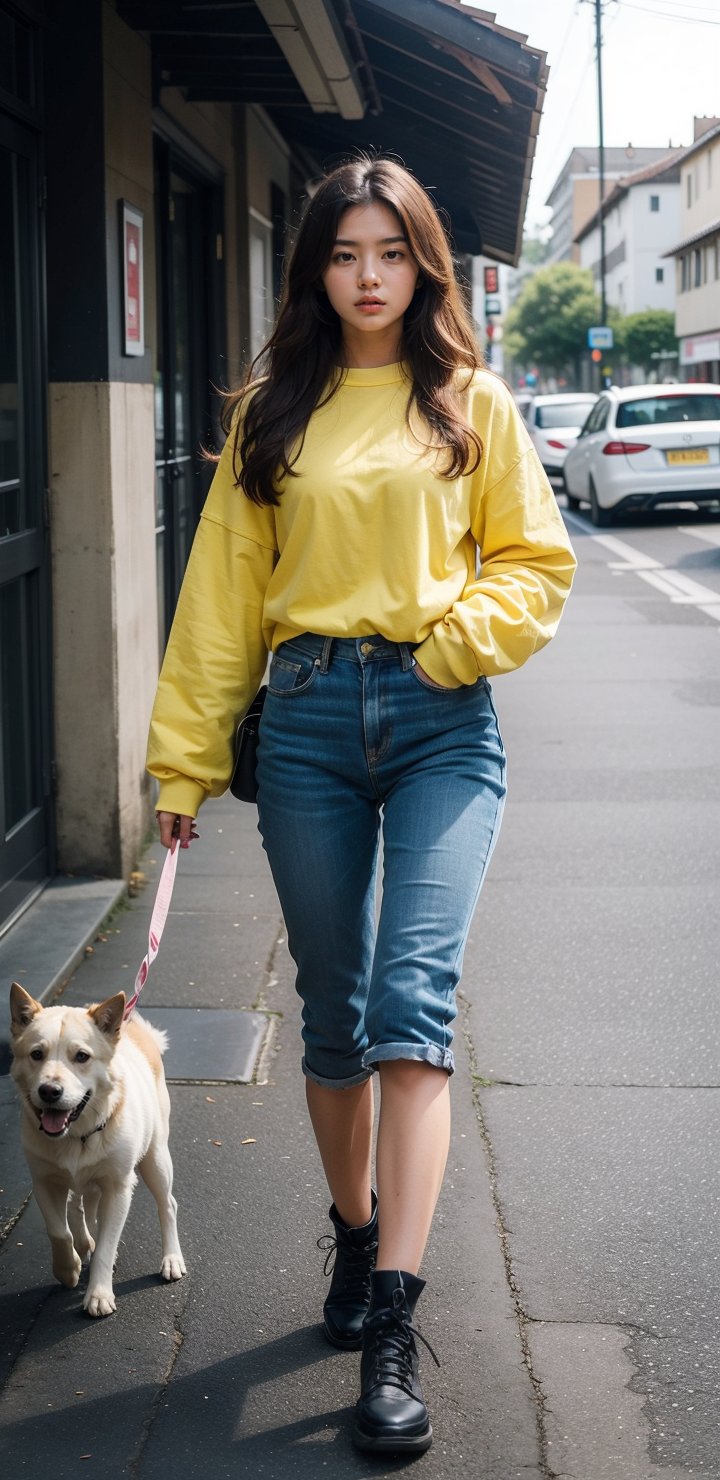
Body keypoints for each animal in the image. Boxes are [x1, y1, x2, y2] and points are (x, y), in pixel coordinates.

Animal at [9, 982, 185, 1320]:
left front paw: (99, 1293)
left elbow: (106, 1244)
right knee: (81, 1207)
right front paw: (68, 1269)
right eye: (36, 1054)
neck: (76, 1136)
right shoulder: (44, 1182)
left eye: (81, 1056)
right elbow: (59, 1231)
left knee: (167, 1205)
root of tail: (132, 1027)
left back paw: (171, 1258)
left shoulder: (118, 1187)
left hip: (155, 1159)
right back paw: (84, 1242)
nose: (49, 1091)